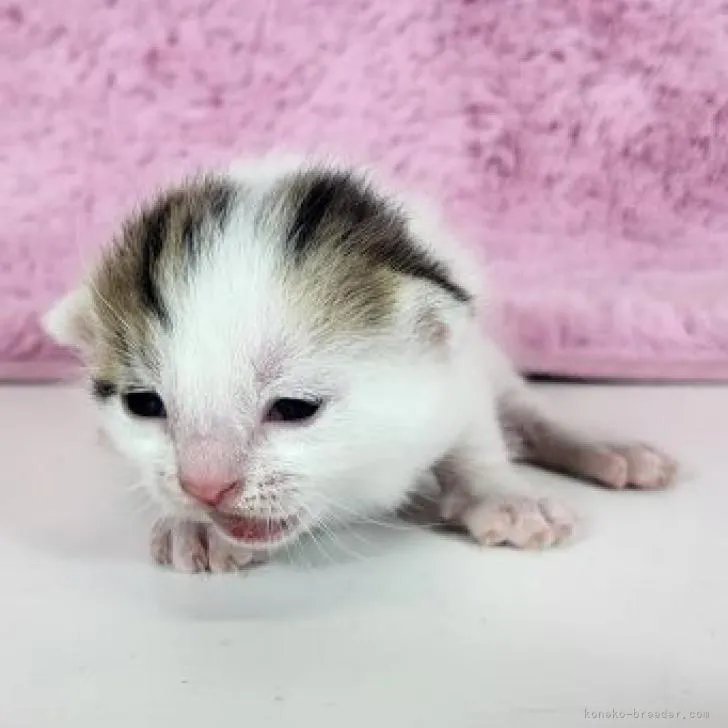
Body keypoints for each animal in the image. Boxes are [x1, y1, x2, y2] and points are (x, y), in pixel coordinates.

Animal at [44, 155, 676, 576]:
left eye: (295, 408)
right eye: (144, 405)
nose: (204, 487)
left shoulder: (455, 369)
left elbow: (475, 437)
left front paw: (502, 494)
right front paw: (194, 527)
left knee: (525, 411)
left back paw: (609, 449)